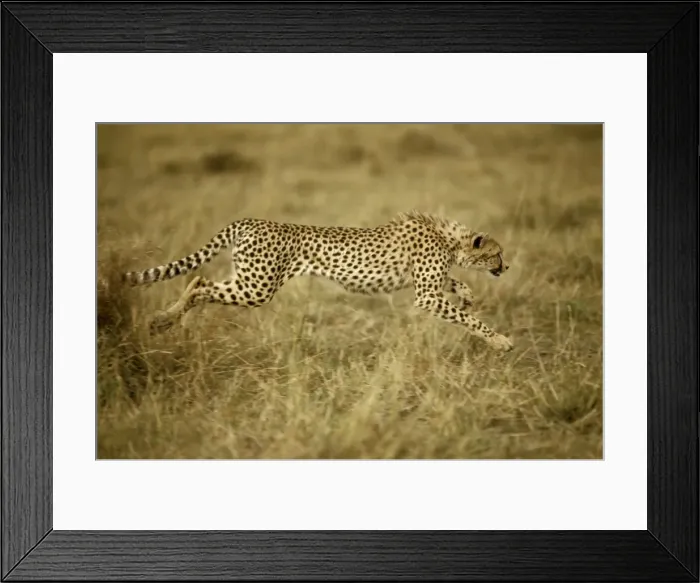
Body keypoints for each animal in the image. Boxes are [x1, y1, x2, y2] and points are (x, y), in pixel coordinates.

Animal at [123, 210, 513, 352]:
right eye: (497, 253)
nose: (506, 267)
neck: (450, 239)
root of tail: (252, 220)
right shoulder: (426, 296)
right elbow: (468, 318)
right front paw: (500, 341)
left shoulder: (427, 286)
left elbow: (457, 287)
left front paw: (467, 295)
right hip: (256, 287)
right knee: (200, 284)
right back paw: (162, 321)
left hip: (248, 280)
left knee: (200, 281)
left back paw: (165, 322)